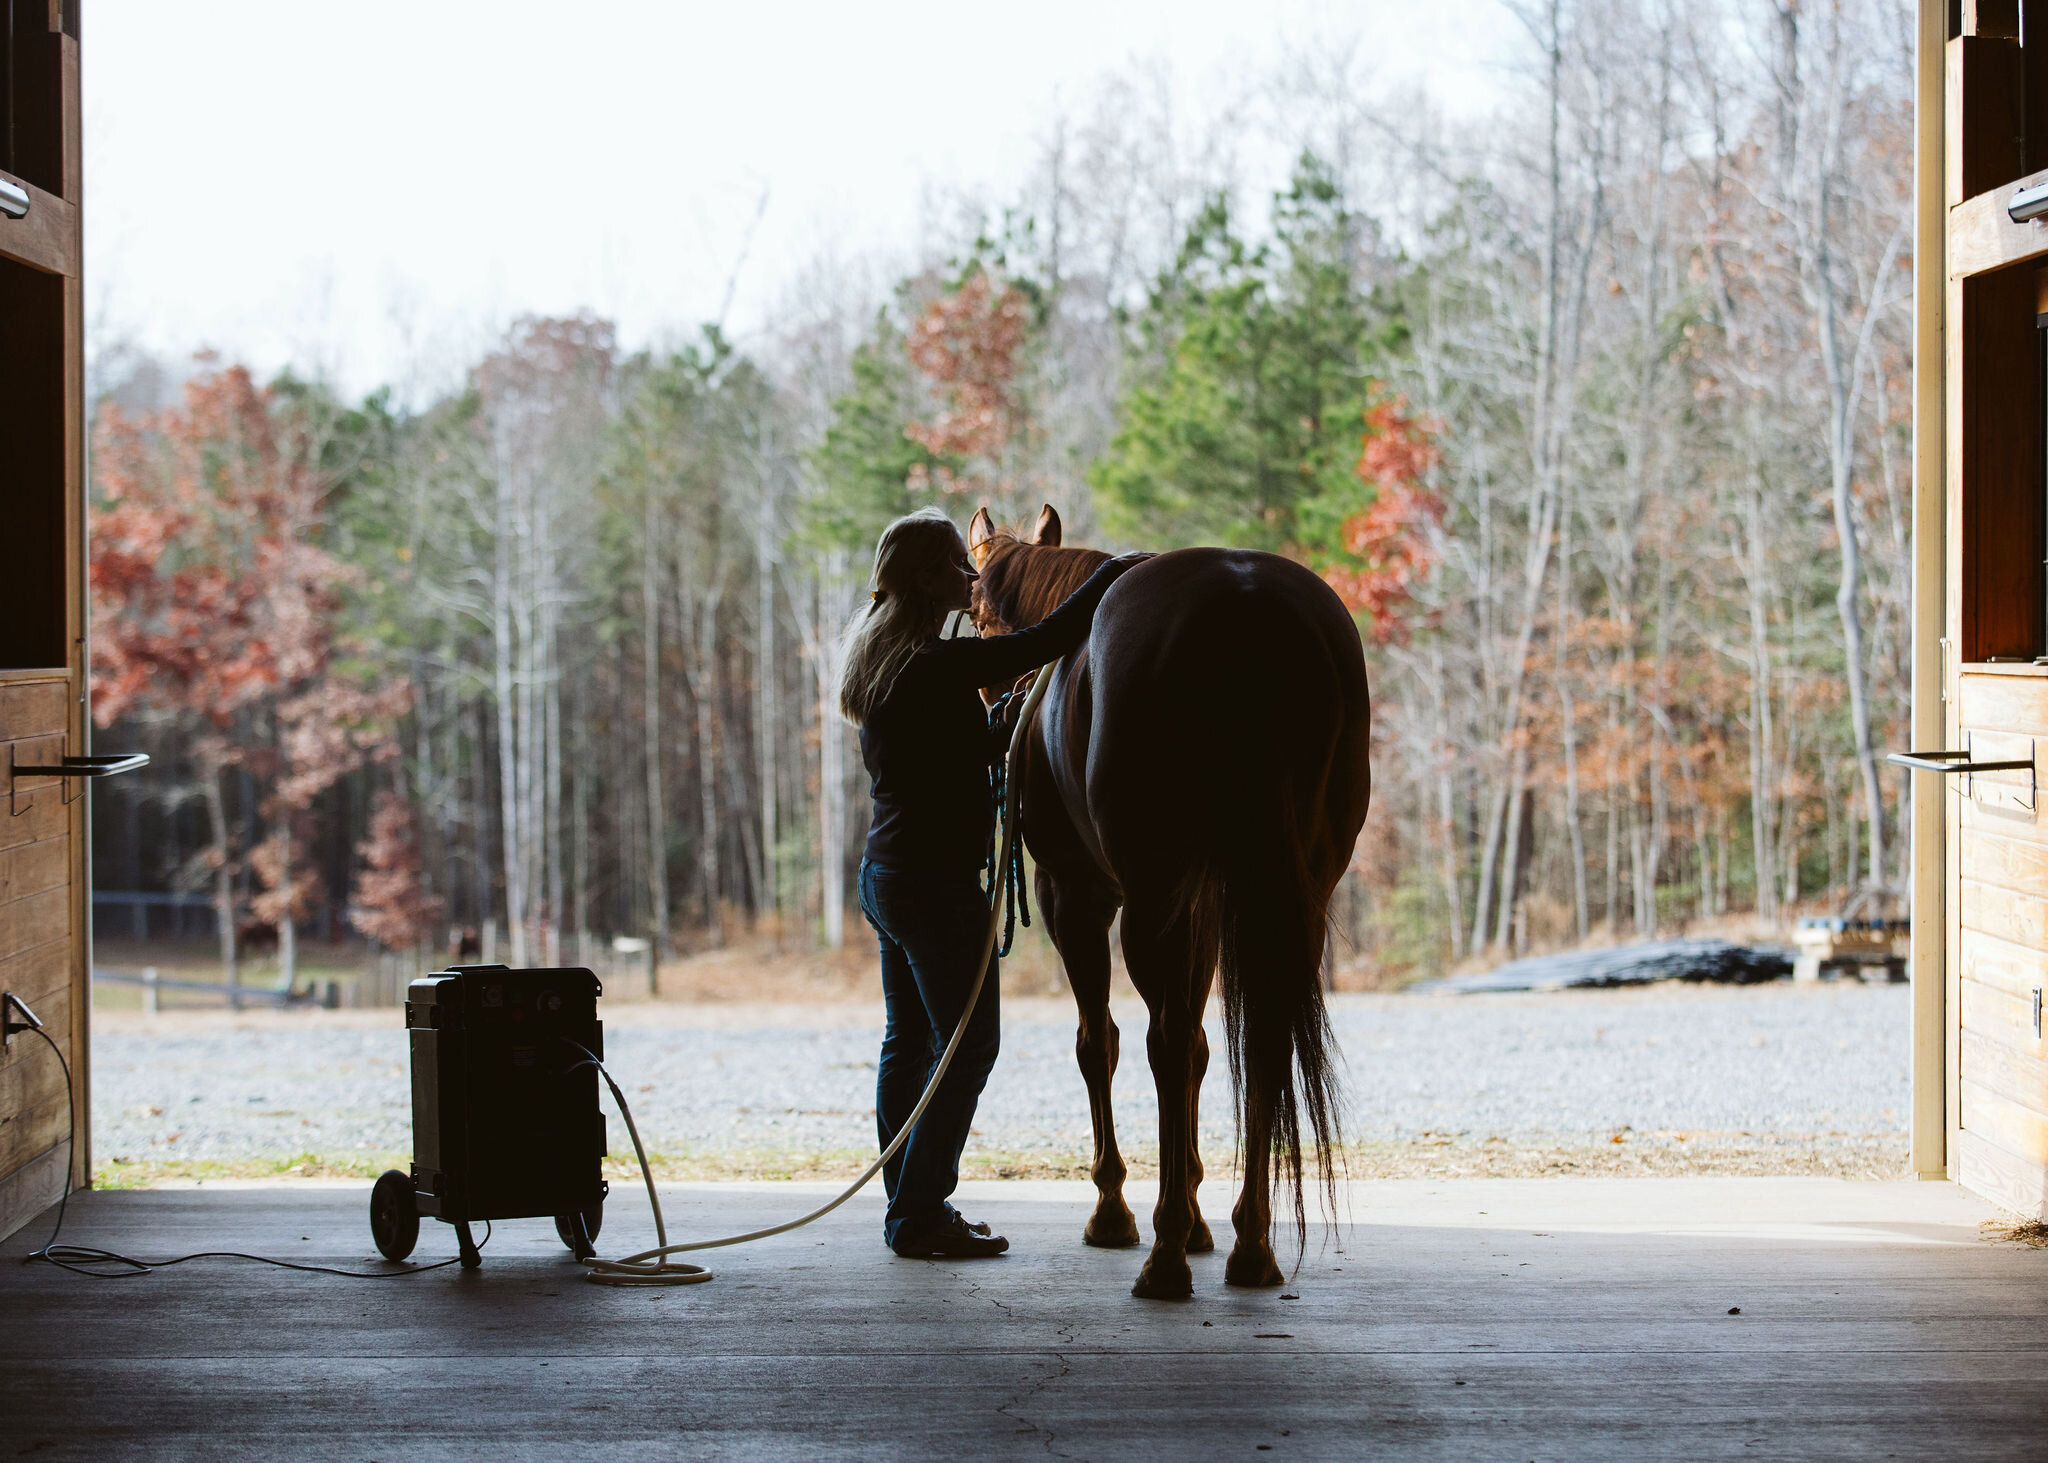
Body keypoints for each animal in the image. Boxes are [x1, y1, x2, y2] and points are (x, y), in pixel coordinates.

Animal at [962, 508, 1376, 1294]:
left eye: (975, 615)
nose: (994, 706)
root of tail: (1247, 603)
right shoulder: (1206, 906)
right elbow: (1210, 1050)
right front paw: (1196, 1214)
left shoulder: (1076, 897)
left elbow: (1101, 1043)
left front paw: (1119, 1211)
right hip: (1296, 897)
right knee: (1261, 1043)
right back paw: (1250, 1244)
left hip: (1150, 899)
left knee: (1166, 1042)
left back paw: (1164, 1256)